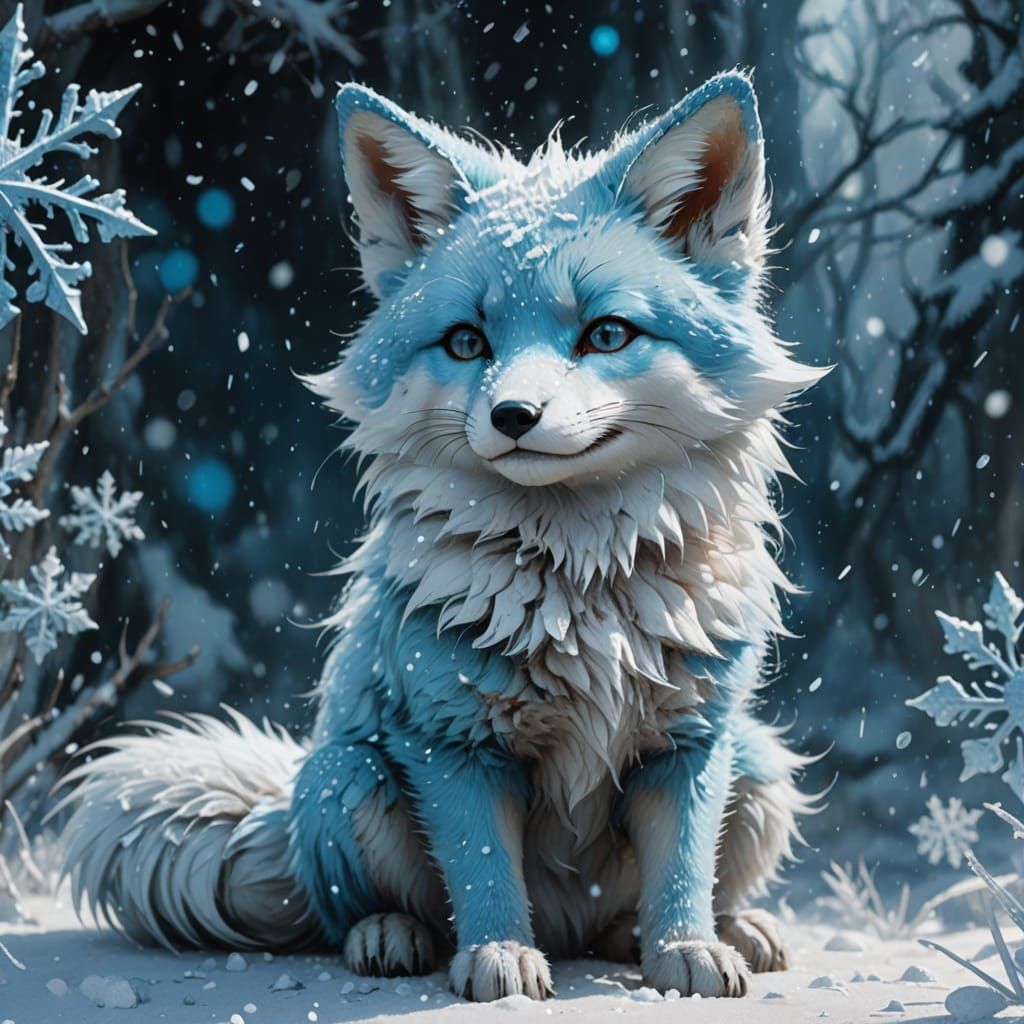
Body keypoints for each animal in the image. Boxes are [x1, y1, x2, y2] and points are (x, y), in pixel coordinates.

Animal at [59, 72, 824, 1002]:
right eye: (467, 341)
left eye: (606, 333)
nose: (514, 415)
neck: (583, 593)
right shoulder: (450, 740)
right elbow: (484, 871)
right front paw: (498, 959)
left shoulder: (691, 742)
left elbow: (682, 867)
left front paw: (686, 952)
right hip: (351, 778)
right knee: (350, 912)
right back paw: (395, 937)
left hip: (762, 766)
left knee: (648, 909)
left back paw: (721, 930)